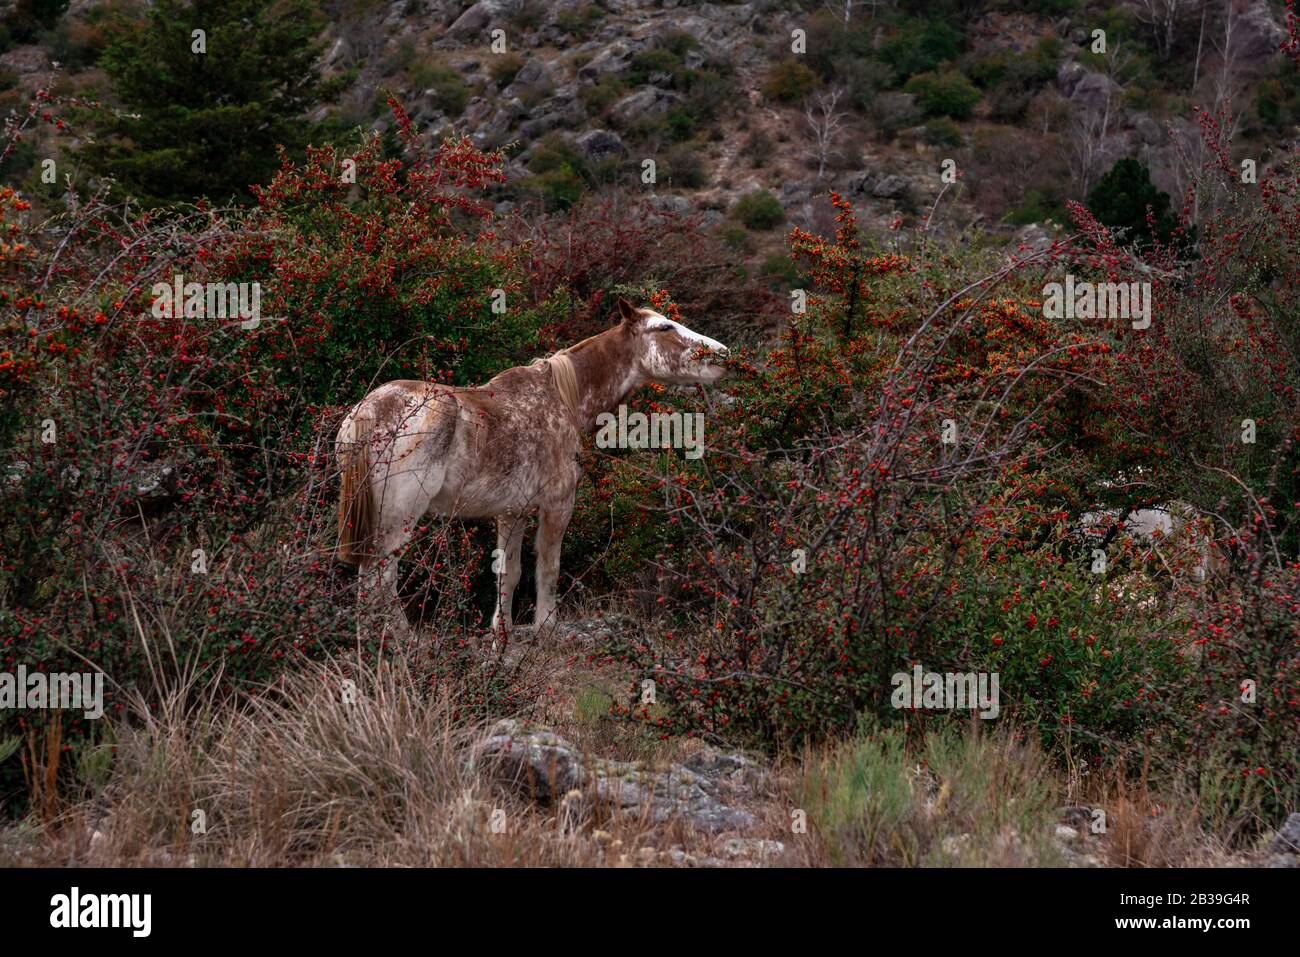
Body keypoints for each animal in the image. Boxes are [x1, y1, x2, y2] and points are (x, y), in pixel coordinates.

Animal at [332, 297, 733, 642]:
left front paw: (501, 635)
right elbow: (548, 570)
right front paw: (545, 629)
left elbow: (508, 575)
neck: (561, 399)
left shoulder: (513, 512)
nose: (723, 354)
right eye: (664, 327)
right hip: (399, 514)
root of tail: (370, 409)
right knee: (380, 578)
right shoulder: (557, 506)